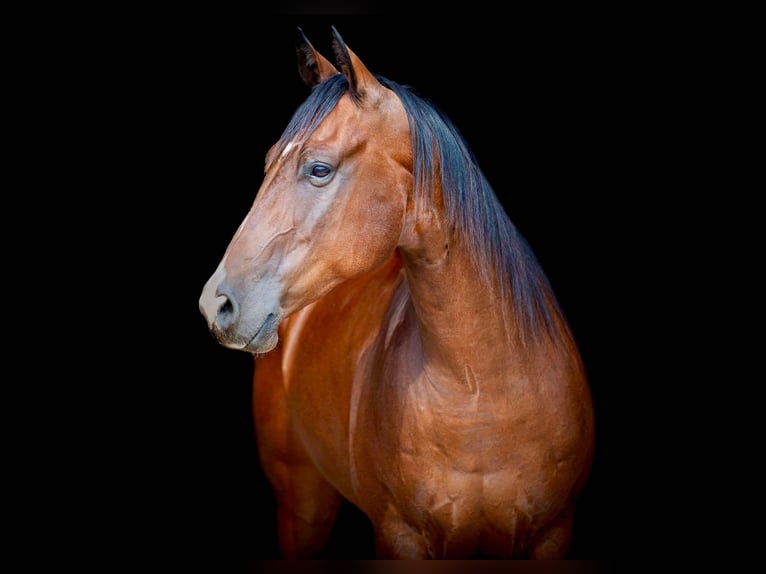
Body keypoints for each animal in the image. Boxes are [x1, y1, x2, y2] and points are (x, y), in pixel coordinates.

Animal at [199, 26, 595, 559]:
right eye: (267, 162)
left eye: (318, 169)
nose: (216, 303)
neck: (481, 392)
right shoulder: (399, 536)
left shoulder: (553, 532)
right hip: (302, 506)